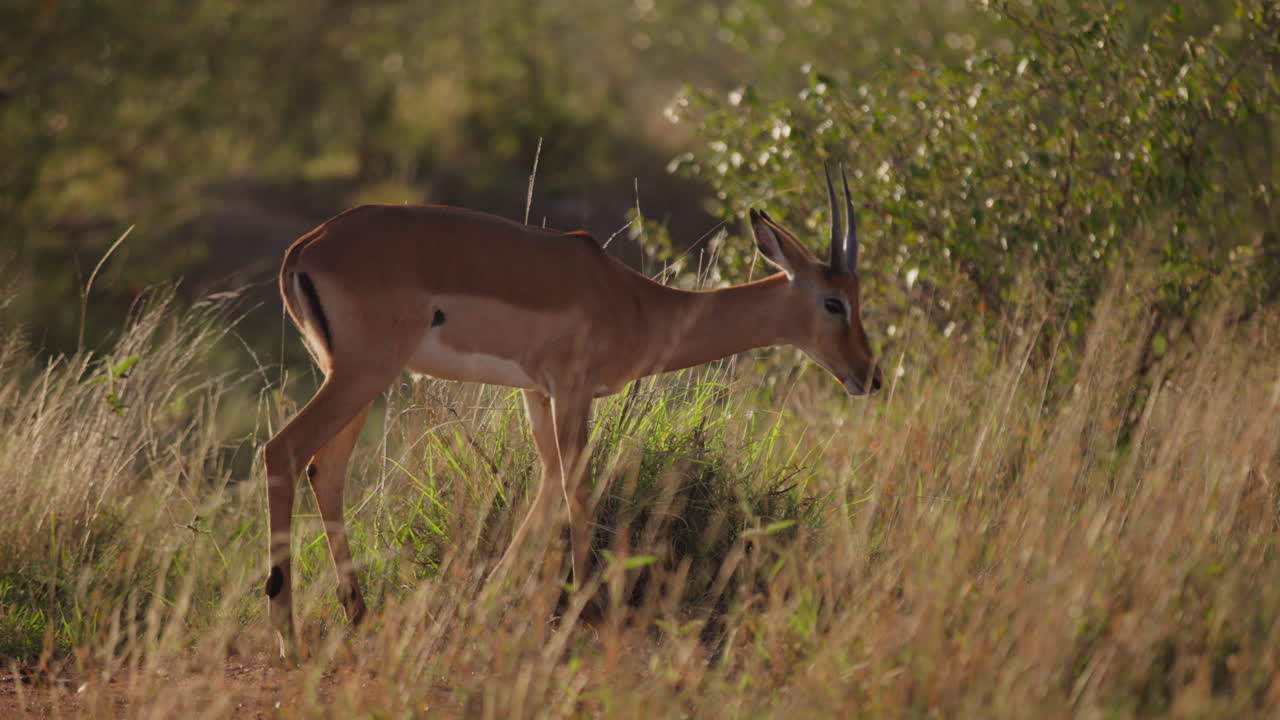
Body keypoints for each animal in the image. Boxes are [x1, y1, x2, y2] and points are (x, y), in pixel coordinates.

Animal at [264, 165, 882, 659]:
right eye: (834, 301)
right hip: (363, 375)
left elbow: (546, 487)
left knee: (326, 470)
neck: (637, 303)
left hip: (353, 379)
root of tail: (305, 247)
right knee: (282, 452)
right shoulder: (572, 391)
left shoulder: (538, 394)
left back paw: (359, 615)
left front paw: (482, 605)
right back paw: (288, 636)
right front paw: (590, 610)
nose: (870, 376)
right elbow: (578, 486)